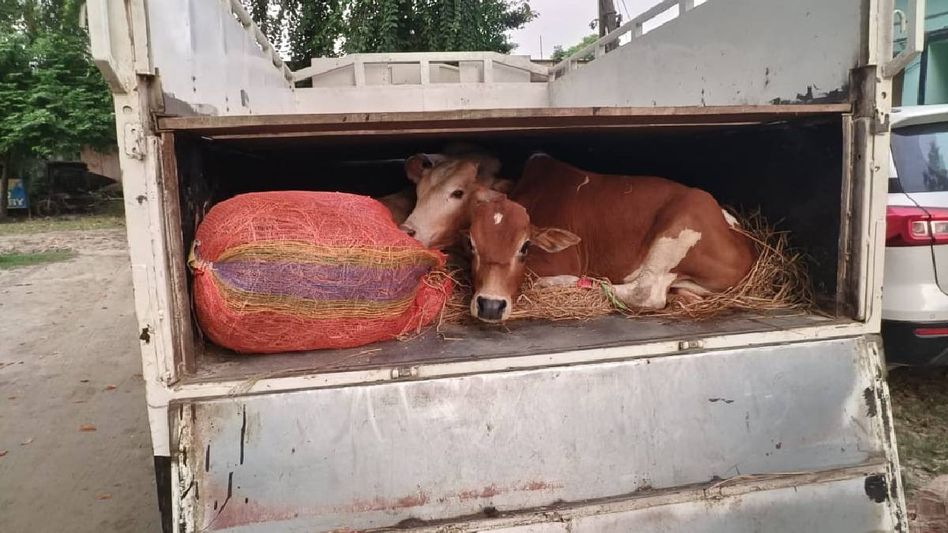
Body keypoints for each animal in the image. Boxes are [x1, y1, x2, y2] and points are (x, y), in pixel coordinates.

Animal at [464, 154, 757, 322]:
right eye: (471, 245)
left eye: (524, 247)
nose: (490, 306)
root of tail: (744, 242)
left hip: (681, 226)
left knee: (646, 292)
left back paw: (556, 283)